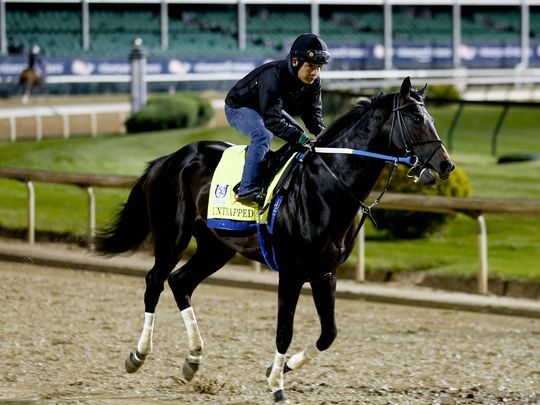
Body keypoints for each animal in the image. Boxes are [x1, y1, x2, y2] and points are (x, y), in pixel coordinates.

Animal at [94, 77, 454, 403]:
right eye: (416, 119)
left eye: (432, 119)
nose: (446, 164)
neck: (328, 186)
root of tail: (167, 159)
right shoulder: (292, 272)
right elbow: (284, 330)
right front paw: (277, 385)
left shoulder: (325, 272)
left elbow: (328, 334)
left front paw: (279, 369)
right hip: (173, 236)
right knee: (155, 281)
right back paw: (138, 354)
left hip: (215, 247)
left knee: (180, 282)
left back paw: (193, 359)